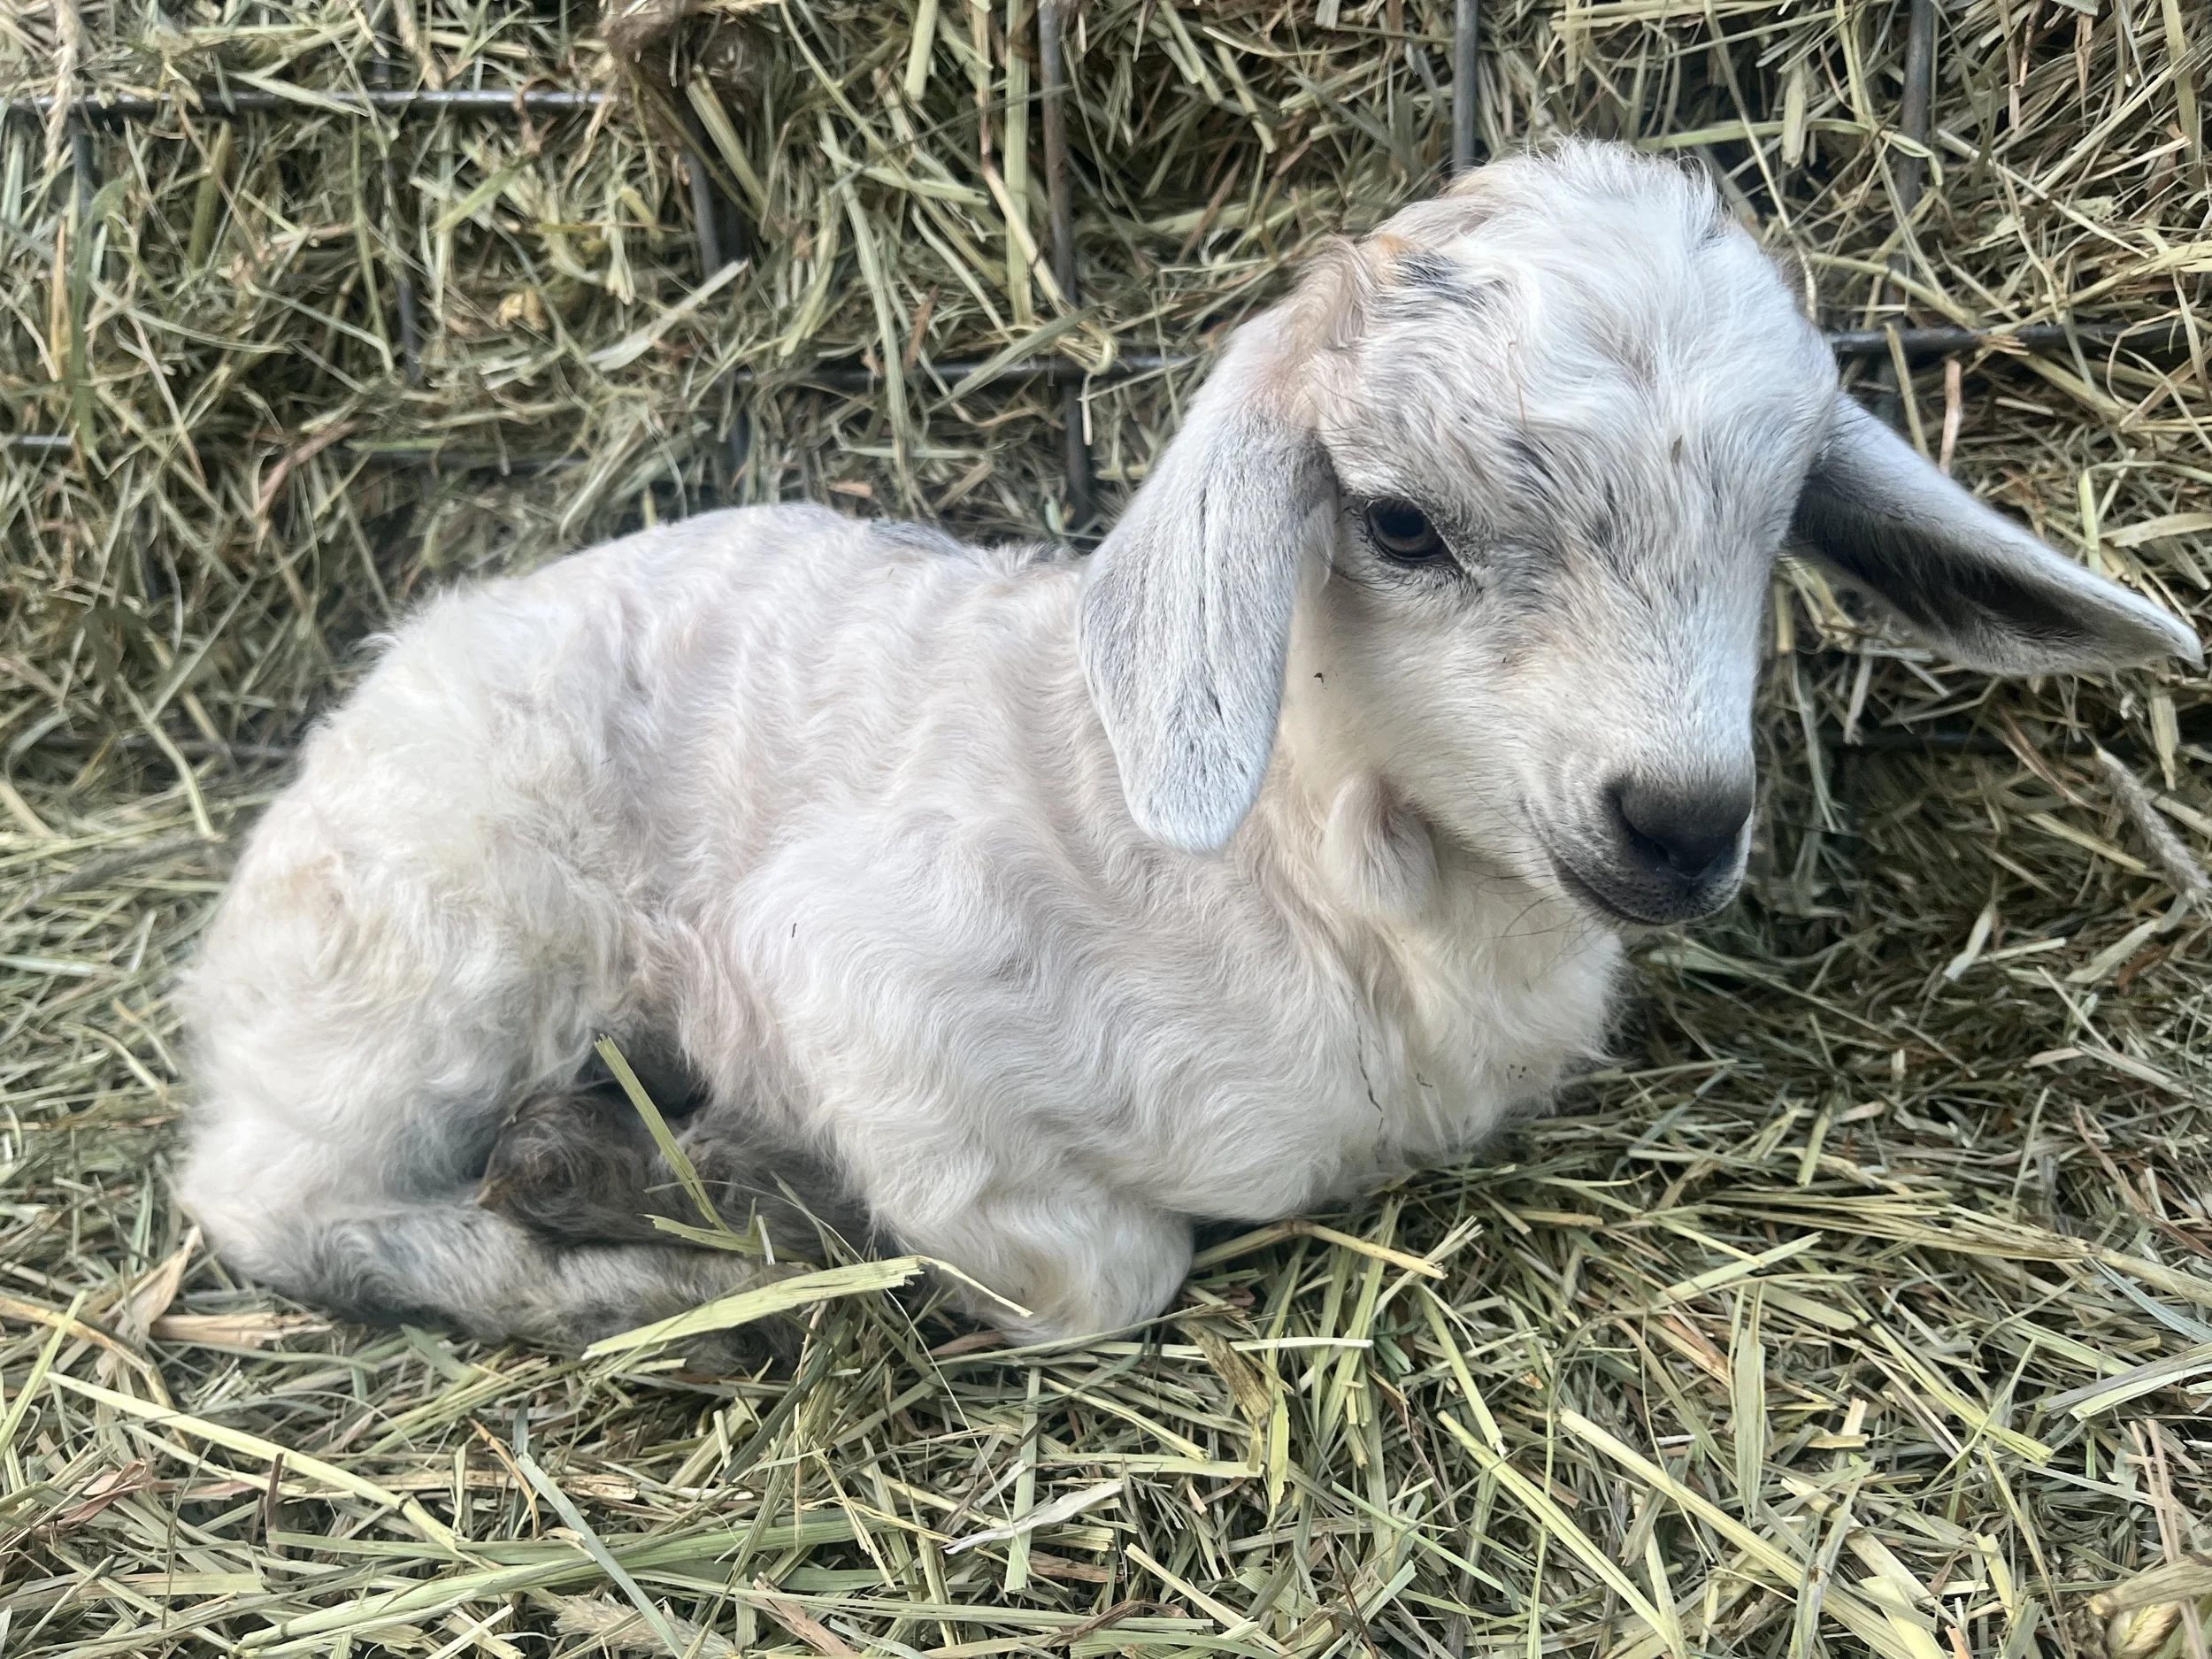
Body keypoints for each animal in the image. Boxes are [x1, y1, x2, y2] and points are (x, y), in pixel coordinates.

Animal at [177, 142, 2198, 1351]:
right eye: (1396, 523)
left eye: (1780, 528)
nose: (1679, 819)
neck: (1322, 880)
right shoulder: (854, 977)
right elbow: (1106, 1270)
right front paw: (779, 1205)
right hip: (438, 951)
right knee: (269, 1203)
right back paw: (632, 1257)